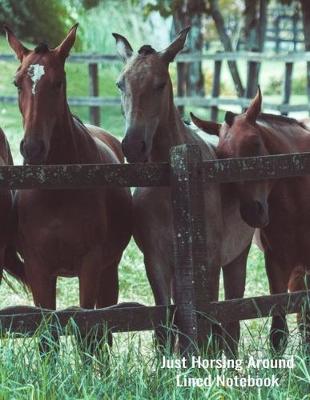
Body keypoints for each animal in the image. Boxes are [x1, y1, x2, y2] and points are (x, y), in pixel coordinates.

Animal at [4, 25, 132, 348]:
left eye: (58, 82)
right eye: (16, 83)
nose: (33, 148)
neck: (58, 187)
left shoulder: (91, 264)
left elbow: (89, 331)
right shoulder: (38, 268)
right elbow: (46, 337)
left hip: (109, 269)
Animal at [113, 27, 254, 354]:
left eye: (160, 84)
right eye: (120, 84)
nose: (133, 146)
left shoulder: (210, 262)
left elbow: (209, 323)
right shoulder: (156, 261)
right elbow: (166, 324)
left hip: (236, 259)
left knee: (232, 320)